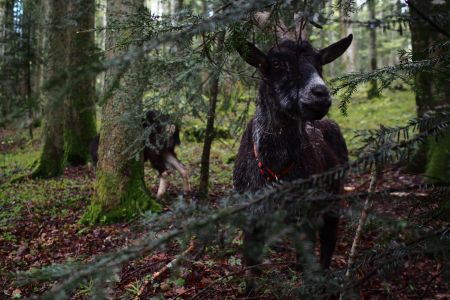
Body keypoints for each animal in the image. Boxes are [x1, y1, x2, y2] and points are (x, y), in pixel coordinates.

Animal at [234, 12, 354, 288]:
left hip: (333, 196)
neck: (274, 166)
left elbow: (307, 263)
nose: (320, 94)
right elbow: (251, 268)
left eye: (319, 63)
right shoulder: (251, 217)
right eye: (276, 63)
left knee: (328, 241)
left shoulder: (304, 216)